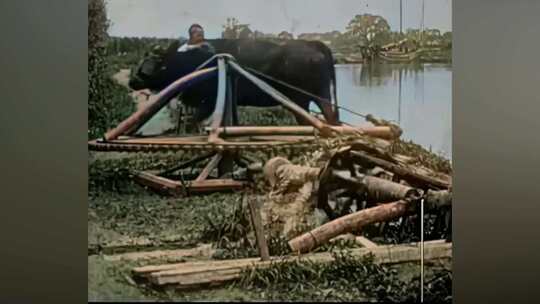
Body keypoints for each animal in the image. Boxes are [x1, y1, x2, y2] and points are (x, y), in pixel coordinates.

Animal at [129, 39, 340, 124]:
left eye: (158, 61)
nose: (133, 80)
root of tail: (312, 44)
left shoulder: (208, 102)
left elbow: (193, 124)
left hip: (308, 98)